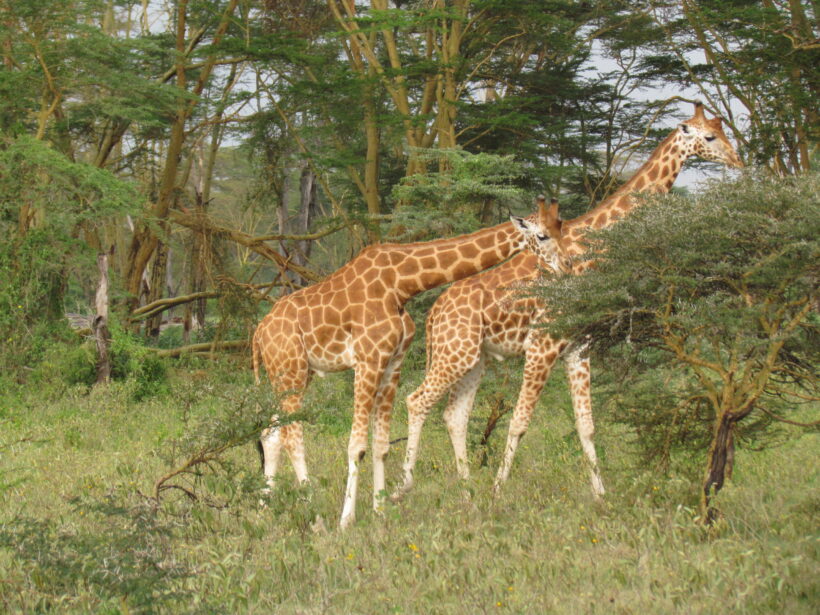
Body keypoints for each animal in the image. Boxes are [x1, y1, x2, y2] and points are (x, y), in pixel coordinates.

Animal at [252, 199, 569, 528]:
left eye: (562, 227)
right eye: (543, 236)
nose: (567, 265)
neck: (401, 284)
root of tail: (259, 332)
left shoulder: (393, 363)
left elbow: (380, 445)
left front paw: (380, 514)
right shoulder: (368, 360)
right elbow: (356, 446)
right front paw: (347, 521)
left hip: (291, 374)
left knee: (271, 434)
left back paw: (263, 512)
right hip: (291, 371)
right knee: (292, 437)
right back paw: (317, 521)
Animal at [395, 102, 743, 499]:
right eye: (710, 136)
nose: (737, 160)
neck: (592, 248)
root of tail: (433, 315)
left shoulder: (579, 348)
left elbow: (586, 426)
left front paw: (601, 496)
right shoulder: (542, 345)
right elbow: (518, 422)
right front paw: (499, 493)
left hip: (474, 358)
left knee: (454, 415)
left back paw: (467, 492)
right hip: (455, 353)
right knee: (417, 400)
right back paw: (404, 487)